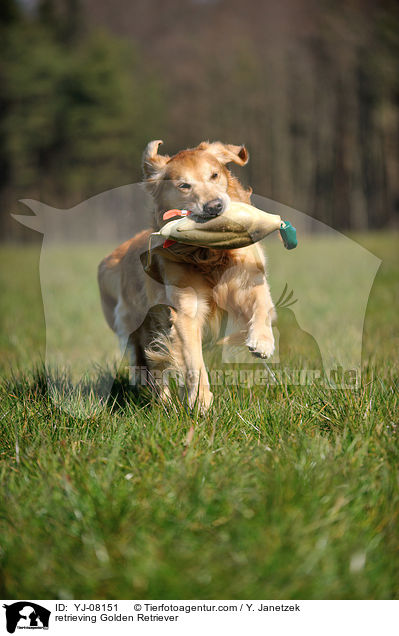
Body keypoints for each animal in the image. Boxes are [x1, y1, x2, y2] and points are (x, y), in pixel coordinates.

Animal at [98, 141, 276, 410]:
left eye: (214, 175)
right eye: (184, 185)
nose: (214, 207)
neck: (208, 253)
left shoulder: (248, 279)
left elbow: (262, 304)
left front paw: (263, 341)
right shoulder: (186, 311)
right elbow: (193, 361)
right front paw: (201, 401)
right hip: (141, 326)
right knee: (152, 366)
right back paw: (164, 403)